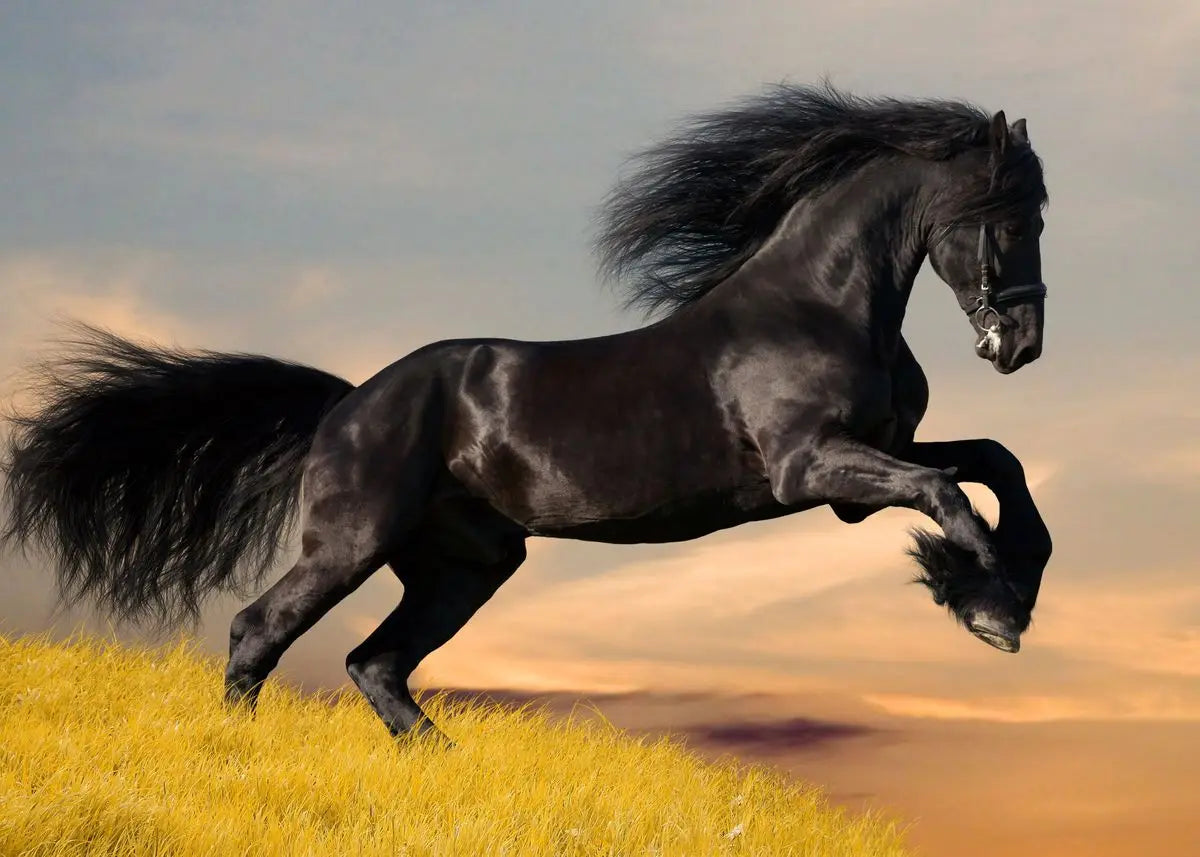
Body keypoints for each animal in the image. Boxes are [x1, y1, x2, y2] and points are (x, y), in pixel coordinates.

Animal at [2, 83, 1052, 742]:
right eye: (1009, 215)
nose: (1021, 344)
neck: (819, 304)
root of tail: (348, 404)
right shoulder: (812, 469)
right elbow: (948, 493)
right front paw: (988, 604)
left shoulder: (865, 467)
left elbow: (994, 462)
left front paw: (1004, 585)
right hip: (352, 541)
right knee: (261, 630)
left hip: (467, 562)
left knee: (375, 662)